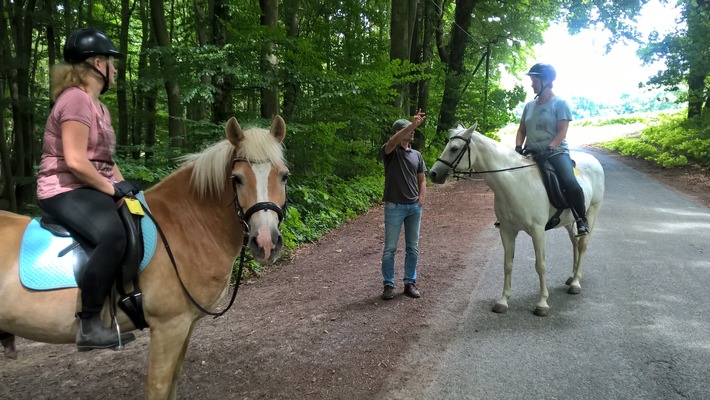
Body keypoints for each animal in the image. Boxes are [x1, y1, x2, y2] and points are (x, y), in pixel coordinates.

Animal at [0, 115, 290, 396]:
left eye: (284, 176)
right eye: (237, 179)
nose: (266, 242)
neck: (186, 225)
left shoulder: (185, 325)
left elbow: (173, 382)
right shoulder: (168, 326)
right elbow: (158, 387)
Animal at [428, 123, 608, 318]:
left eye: (454, 149)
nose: (433, 174)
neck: (515, 183)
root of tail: (594, 160)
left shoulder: (537, 231)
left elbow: (540, 265)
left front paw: (542, 303)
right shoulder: (507, 230)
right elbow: (507, 264)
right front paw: (503, 301)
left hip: (591, 212)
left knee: (582, 244)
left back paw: (576, 283)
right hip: (569, 221)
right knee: (574, 243)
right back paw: (572, 276)